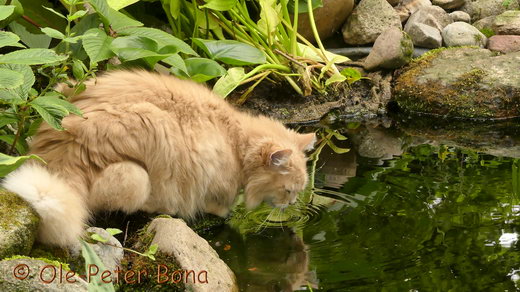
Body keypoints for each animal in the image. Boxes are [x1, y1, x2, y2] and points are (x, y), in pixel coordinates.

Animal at [2, 70, 314, 249]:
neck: (235, 140)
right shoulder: (213, 178)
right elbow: (217, 204)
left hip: (67, 89)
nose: (292, 204)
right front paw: (220, 212)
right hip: (144, 155)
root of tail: (59, 156)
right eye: (288, 190)